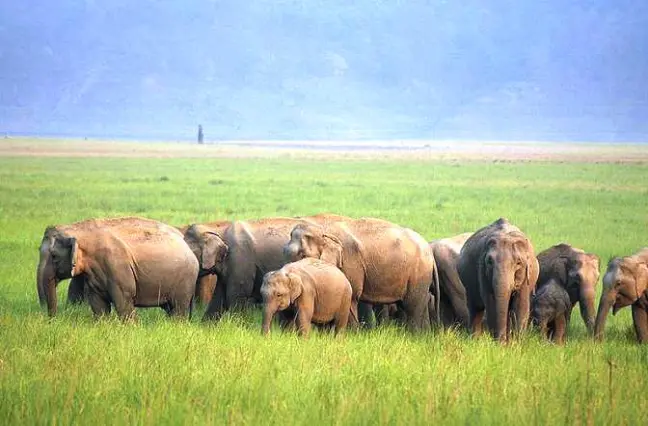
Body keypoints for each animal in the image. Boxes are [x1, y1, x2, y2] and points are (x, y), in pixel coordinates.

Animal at [37, 217, 199, 319]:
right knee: (170, 308)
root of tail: (185, 242)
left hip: (185, 279)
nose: (52, 320)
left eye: (54, 256)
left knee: (178, 308)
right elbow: (98, 304)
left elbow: (124, 301)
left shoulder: (117, 266)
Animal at [283, 217, 439, 331]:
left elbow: (351, 296)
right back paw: (423, 336)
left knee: (412, 305)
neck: (324, 229)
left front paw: (352, 335)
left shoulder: (350, 262)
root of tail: (429, 252)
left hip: (419, 273)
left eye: (303, 255)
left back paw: (414, 336)